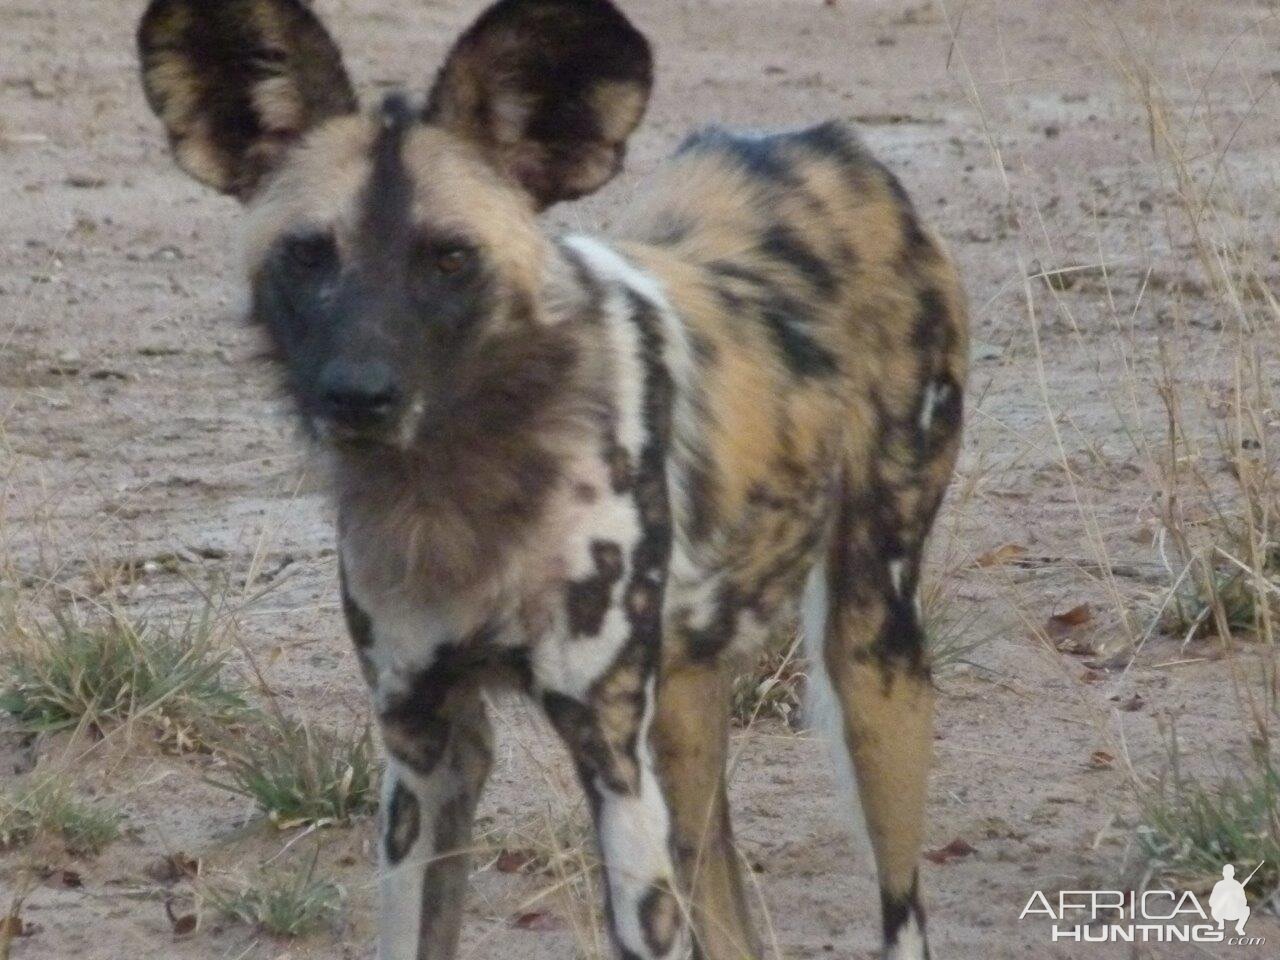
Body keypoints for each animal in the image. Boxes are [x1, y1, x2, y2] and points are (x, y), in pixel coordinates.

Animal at [135, 0, 962, 957]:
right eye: (308, 255)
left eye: (450, 258)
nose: (358, 394)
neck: (460, 486)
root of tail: (817, 141)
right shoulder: (423, 749)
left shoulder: (609, 756)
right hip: (683, 715)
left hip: (873, 659)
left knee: (900, 907)